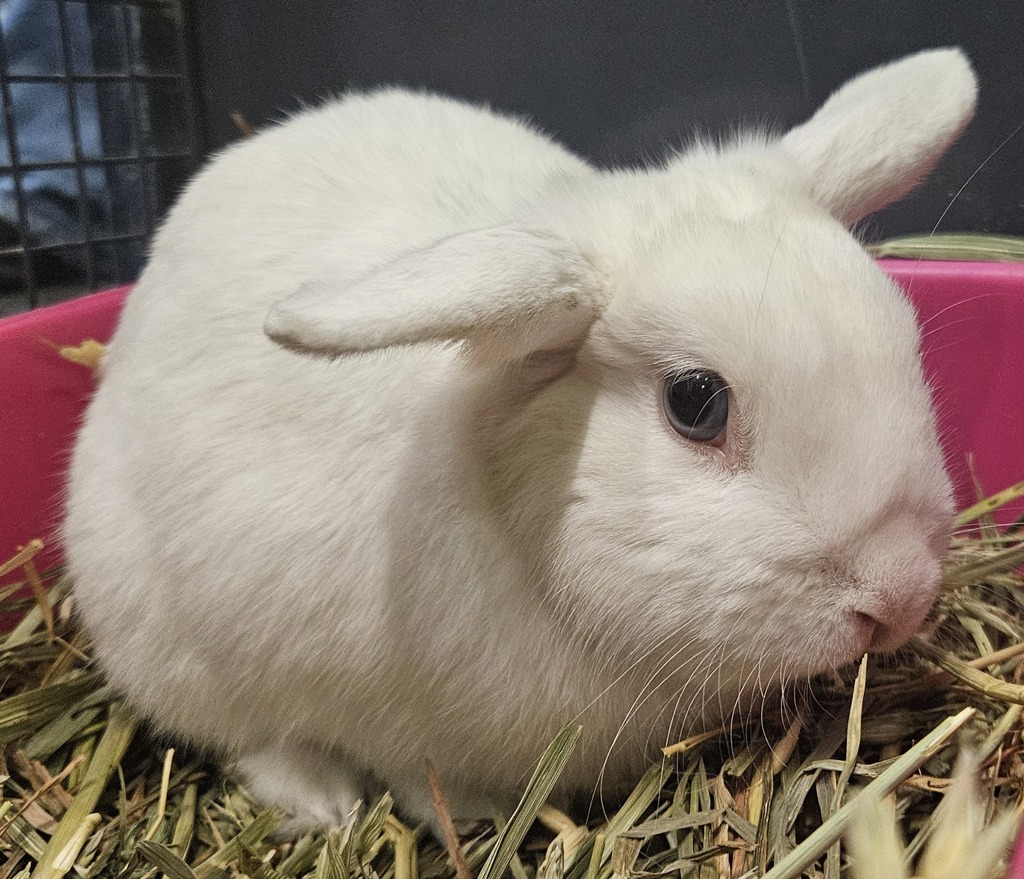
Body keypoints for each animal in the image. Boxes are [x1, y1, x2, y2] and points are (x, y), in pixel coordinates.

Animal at [64, 48, 976, 830]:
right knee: (254, 738)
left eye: (906, 338)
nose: (900, 595)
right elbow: (412, 778)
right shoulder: (396, 725)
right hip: (165, 643)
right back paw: (325, 804)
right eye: (695, 402)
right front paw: (465, 817)